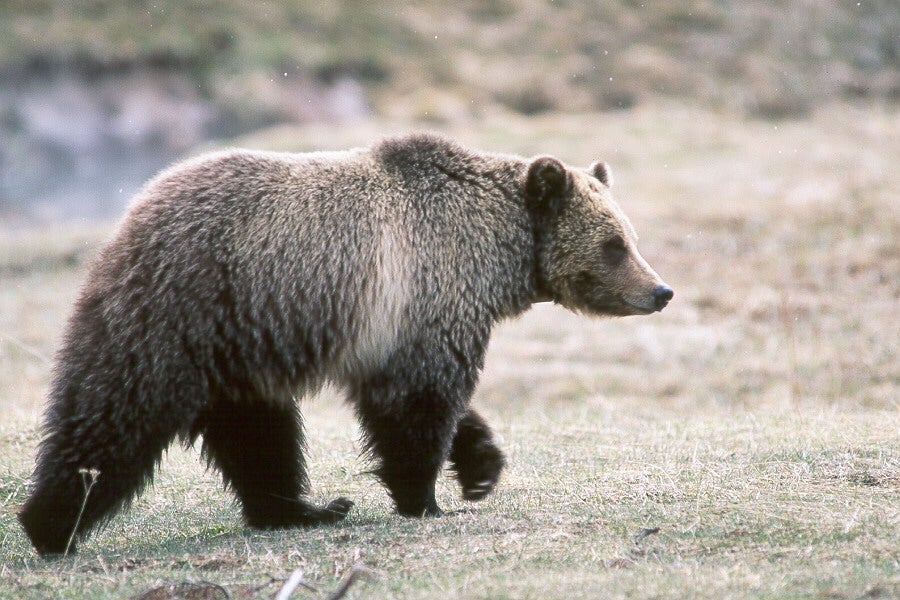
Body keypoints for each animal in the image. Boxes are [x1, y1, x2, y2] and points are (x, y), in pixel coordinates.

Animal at [17, 134, 672, 556]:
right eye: (614, 243)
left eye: (631, 236)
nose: (660, 290)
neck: (497, 251)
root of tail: (132, 215)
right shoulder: (425, 292)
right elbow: (419, 404)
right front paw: (423, 497)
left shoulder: (403, 329)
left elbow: (426, 398)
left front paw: (480, 465)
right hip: (182, 312)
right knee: (116, 414)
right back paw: (50, 524)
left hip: (239, 346)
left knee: (258, 435)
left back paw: (300, 510)